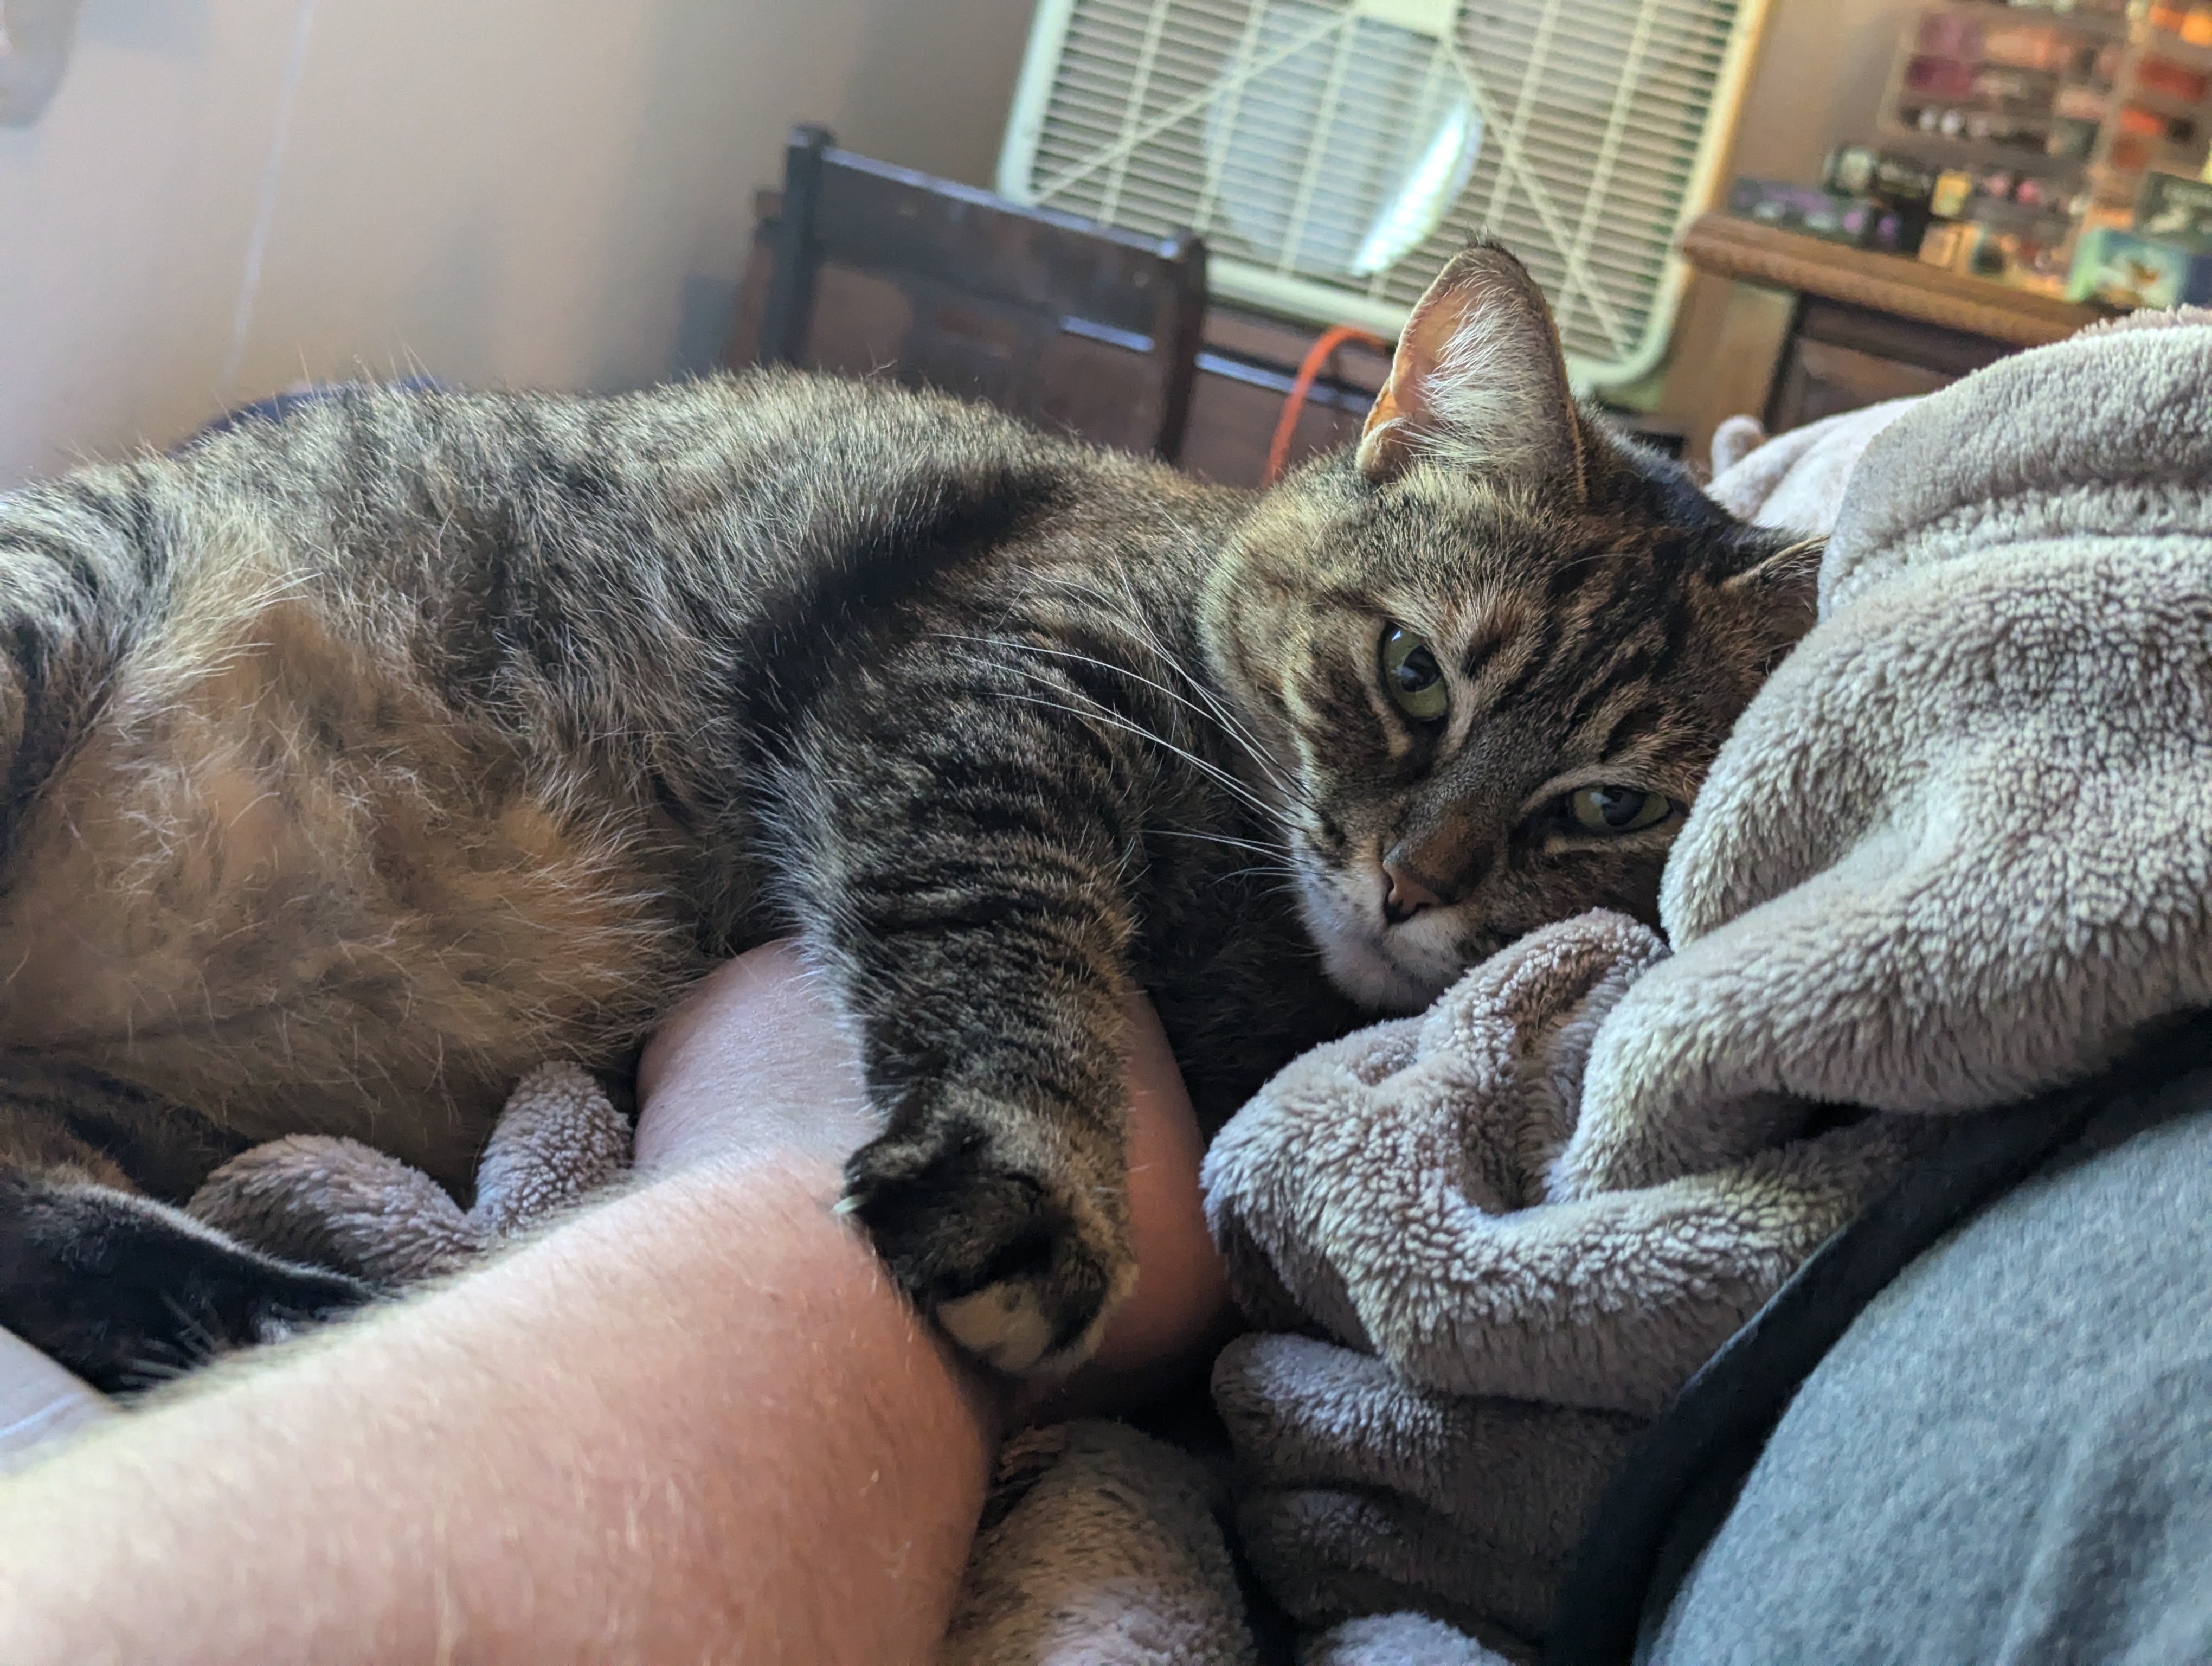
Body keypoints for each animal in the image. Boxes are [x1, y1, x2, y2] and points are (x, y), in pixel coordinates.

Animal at [0, 250, 1805, 1389]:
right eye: (1413, 673)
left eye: (1607, 804)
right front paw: (1032, 1181)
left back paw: (265, 1316)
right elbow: (1007, 949)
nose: (1413, 881)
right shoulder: (977, 689)